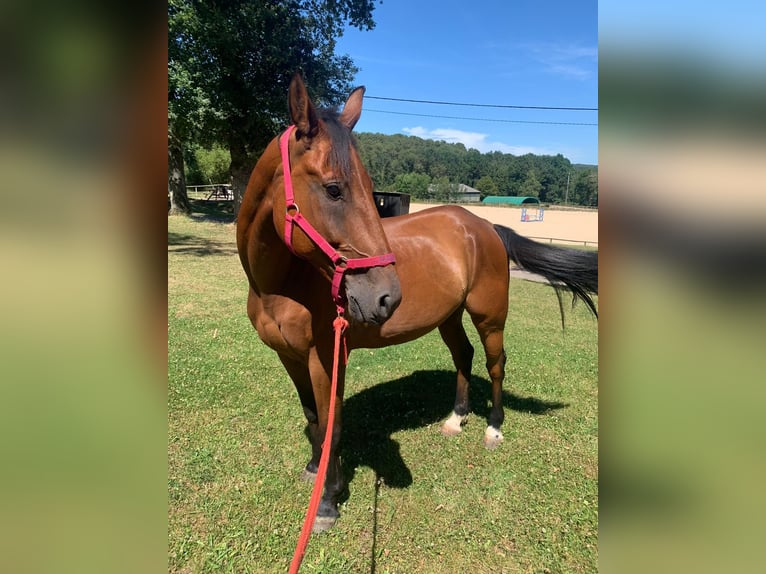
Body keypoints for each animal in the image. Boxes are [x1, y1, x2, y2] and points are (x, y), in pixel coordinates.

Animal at [238, 74, 600, 532]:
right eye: (333, 189)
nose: (385, 296)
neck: (281, 285)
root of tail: (484, 225)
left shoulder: (328, 359)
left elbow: (332, 426)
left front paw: (328, 502)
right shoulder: (289, 356)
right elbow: (314, 419)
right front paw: (314, 470)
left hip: (490, 315)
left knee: (495, 363)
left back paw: (494, 429)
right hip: (449, 316)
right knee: (463, 356)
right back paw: (456, 418)